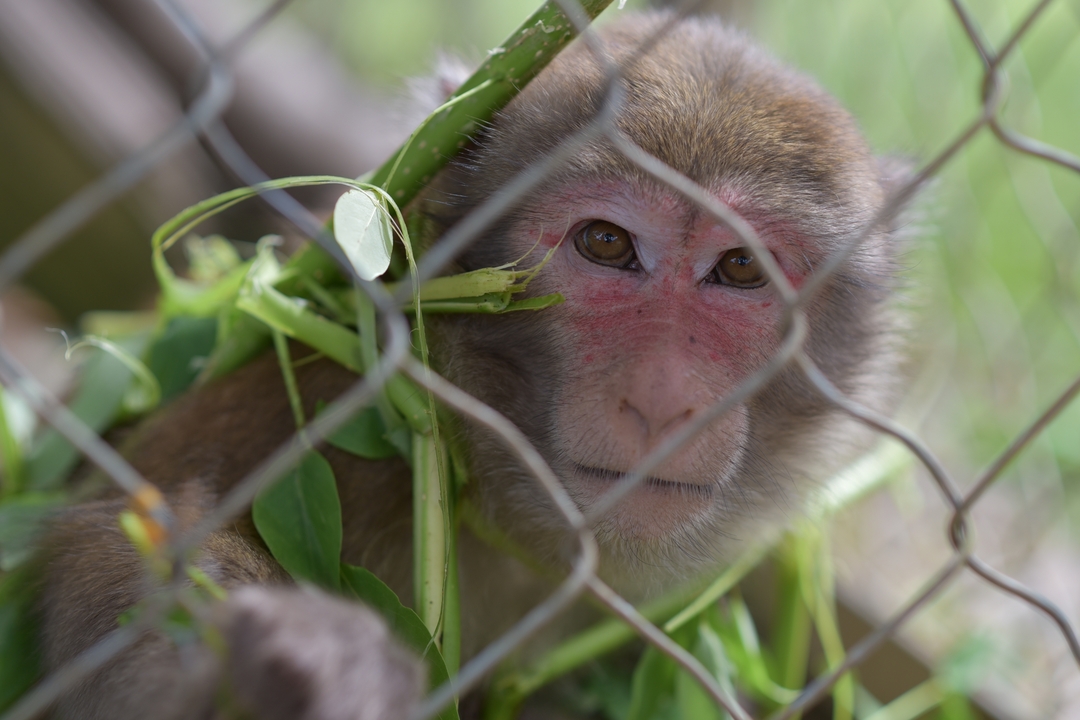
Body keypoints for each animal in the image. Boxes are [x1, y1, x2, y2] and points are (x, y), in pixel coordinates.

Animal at [36, 11, 908, 720]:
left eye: (739, 268)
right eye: (606, 243)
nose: (664, 400)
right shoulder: (313, 400)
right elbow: (121, 534)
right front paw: (301, 672)